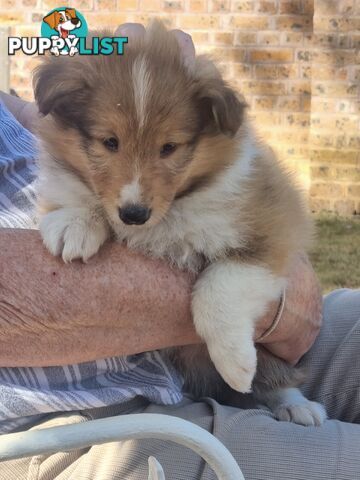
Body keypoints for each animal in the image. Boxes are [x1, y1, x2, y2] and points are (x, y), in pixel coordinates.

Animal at [33, 23, 326, 428]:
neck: (174, 209)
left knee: (279, 378)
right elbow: (77, 194)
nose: (134, 213)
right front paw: (74, 222)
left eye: (169, 147)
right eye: (110, 142)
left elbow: (217, 288)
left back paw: (296, 406)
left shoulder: (274, 227)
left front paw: (236, 364)